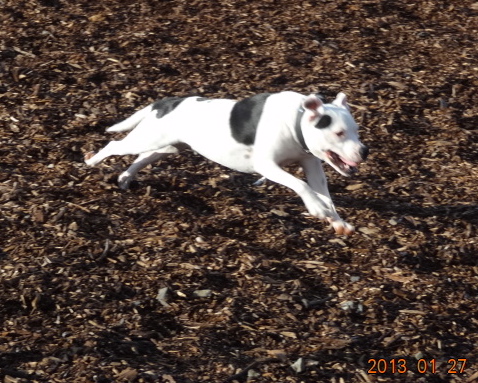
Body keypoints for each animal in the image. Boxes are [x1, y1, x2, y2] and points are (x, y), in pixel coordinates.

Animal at [85, 91, 370, 236]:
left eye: (356, 131)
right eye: (339, 133)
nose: (365, 151)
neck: (296, 121)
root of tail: (165, 103)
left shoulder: (312, 165)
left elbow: (325, 195)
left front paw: (337, 221)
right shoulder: (267, 166)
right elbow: (301, 185)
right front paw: (316, 208)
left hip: (165, 147)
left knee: (141, 159)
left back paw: (125, 178)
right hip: (146, 139)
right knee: (114, 146)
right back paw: (91, 161)